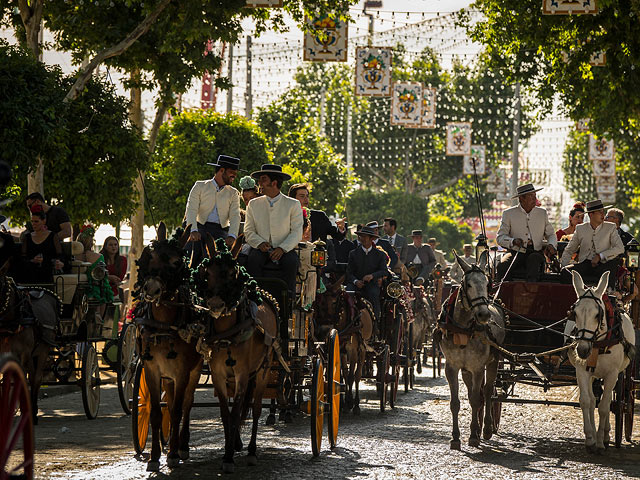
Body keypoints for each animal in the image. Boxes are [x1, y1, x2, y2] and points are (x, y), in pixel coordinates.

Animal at [130, 225, 200, 472]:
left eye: (177, 262)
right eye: (149, 256)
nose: (150, 288)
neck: (163, 324)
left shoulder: (182, 372)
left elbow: (178, 410)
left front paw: (173, 455)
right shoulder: (152, 370)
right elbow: (156, 412)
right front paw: (154, 457)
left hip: (194, 371)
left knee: (187, 404)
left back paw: (182, 446)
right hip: (168, 377)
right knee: (168, 402)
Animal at [192, 236, 278, 472]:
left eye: (233, 273)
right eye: (207, 272)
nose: (215, 304)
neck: (228, 333)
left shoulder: (242, 374)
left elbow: (238, 409)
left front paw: (230, 456)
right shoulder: (220, 374)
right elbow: (226, 413)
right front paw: (228, 451)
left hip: (263, 371)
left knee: (255, 409)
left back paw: (251, 451)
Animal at [312, 276, 372, 414]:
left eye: (335, 302)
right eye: (318, 304)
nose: (324, 330)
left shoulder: (352, 350)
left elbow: (351, 376)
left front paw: (352, 403)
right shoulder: (339, 349)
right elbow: (340, 375)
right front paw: (342, 403)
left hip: (362, 349)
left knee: (357, 374)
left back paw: (355, 403)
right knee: (346, 372)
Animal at [440, 251, 504, 450]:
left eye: (487, 284)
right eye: (468, 284)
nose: (484, 315)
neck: (463, 329)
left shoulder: (478, 367)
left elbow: (477, 399)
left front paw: (474, 436)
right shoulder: (451, 367)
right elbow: (455, 402)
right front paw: (455, 438)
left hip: (493, 362)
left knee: (488, 391)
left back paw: (486, 428)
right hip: (466, 370)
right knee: (473, 392)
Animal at [568, 272, 636, 452]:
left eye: (597, 315)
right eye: (574, 313)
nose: (583, 350)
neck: (598, 343)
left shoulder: (612, 374)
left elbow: (605, 407)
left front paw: (599, 441)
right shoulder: (582, 371)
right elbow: (586, 401)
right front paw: (590, 438)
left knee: (608, 401)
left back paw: (605, 435)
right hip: (593, 373)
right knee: (593, 401)